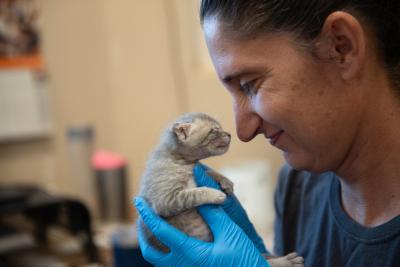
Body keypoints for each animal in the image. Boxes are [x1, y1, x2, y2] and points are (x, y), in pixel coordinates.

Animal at [138, 113, 304, 267]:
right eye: (213, 131)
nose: (229, 134)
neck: (186, 162)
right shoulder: (166, 199)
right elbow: (194, 192)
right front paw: (215, 193)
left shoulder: (196, 170)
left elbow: (208, 172)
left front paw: (225, 181)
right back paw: (286, 261)